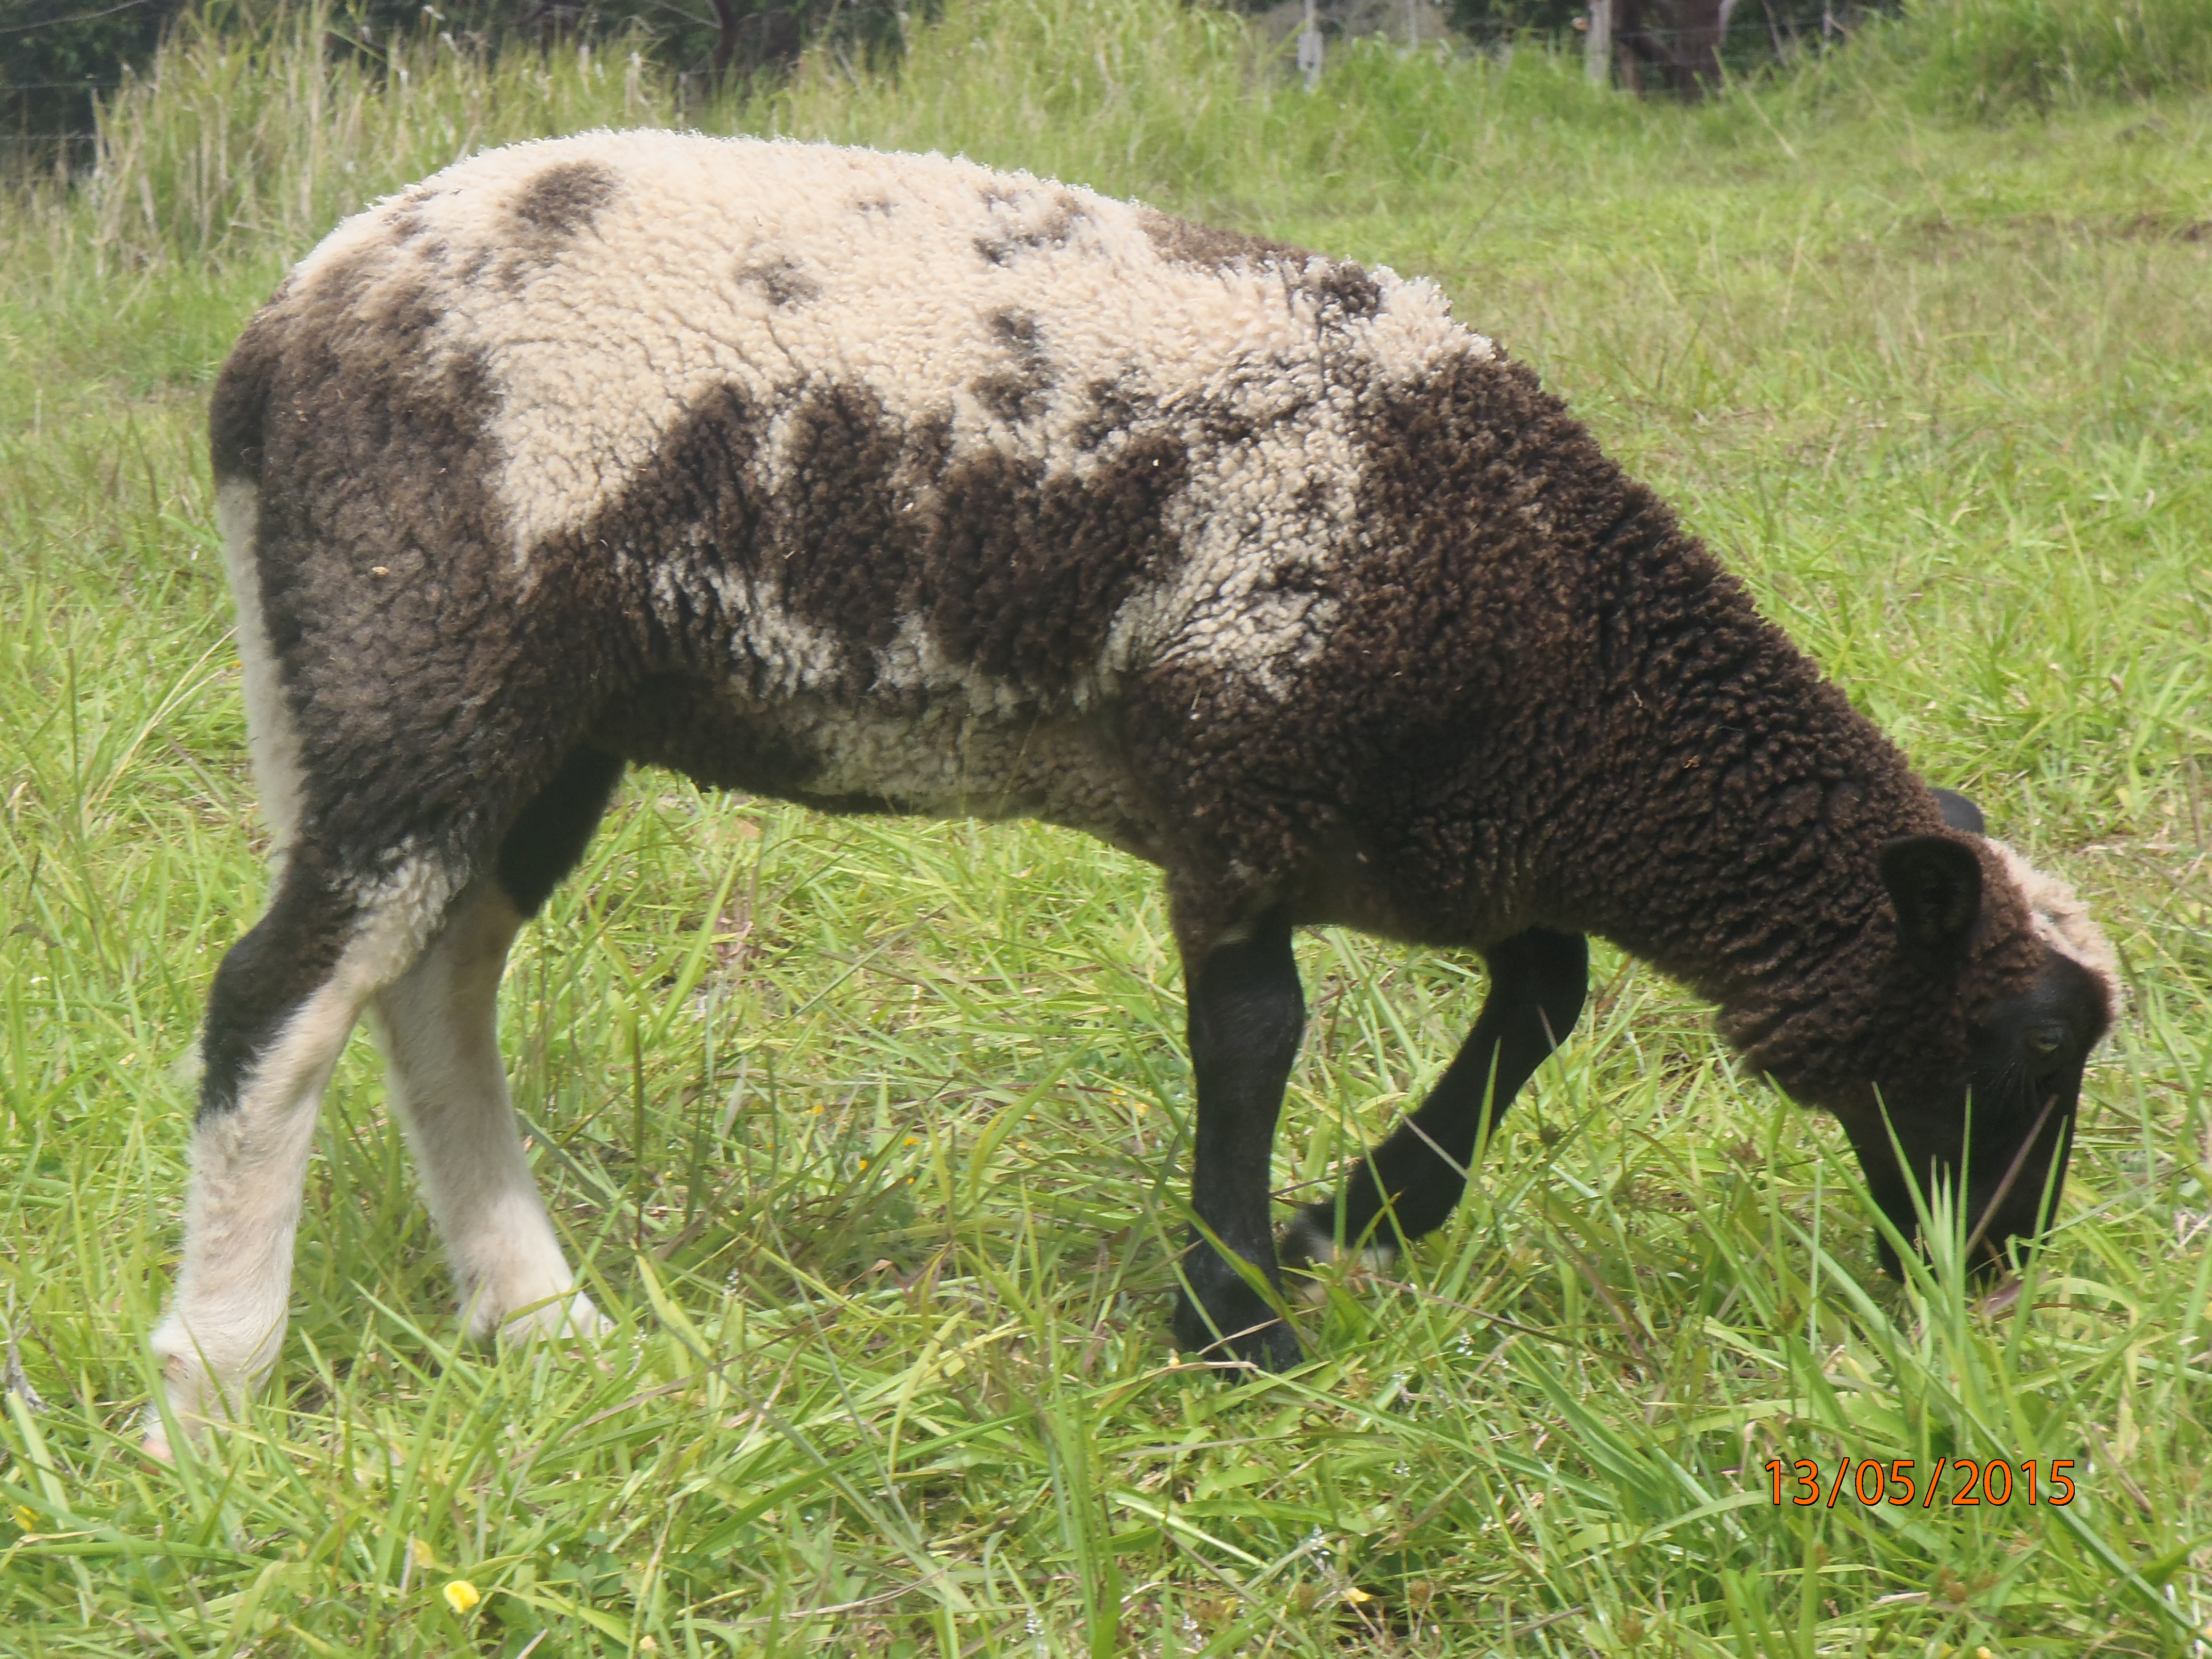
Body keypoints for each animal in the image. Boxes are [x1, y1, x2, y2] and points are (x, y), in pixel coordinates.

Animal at [147, 133, 2115, 1451]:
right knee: (280, 992)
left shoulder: (1426, 823)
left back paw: (540, 1317)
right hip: (426, 652)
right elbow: (1255, 1031)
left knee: (432, 977)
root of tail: (278, 333)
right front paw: (1236, 1322)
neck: (1561, 643)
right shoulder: (1239, 764)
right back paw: (209, 1387)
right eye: (2026, 1043)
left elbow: (1541, 988)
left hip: (537, 721)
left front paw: (1353, 1218)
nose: (1991, 1277)